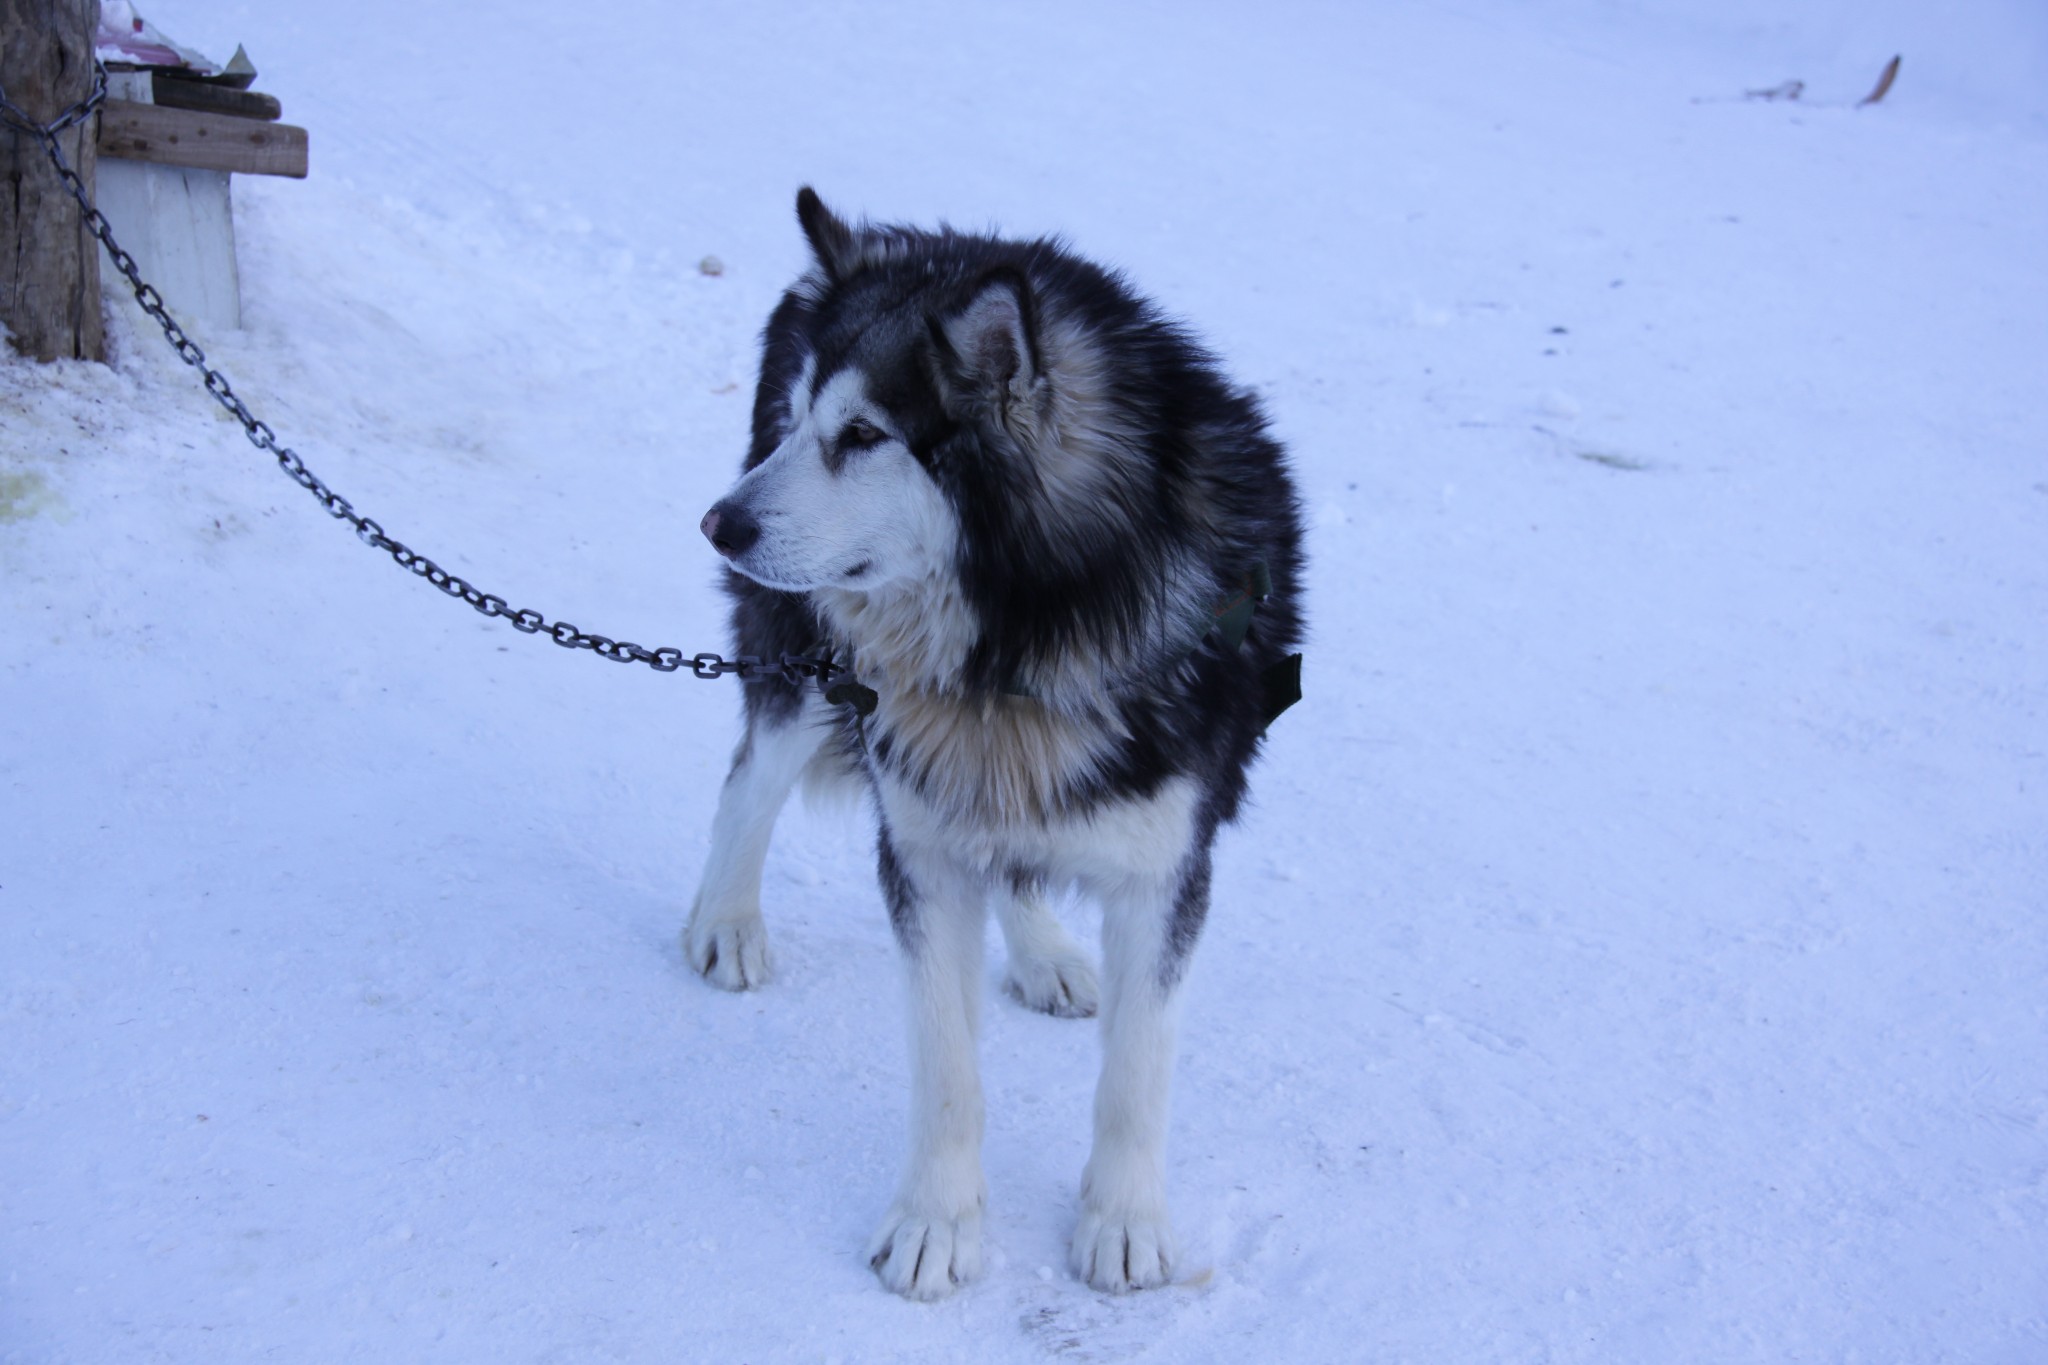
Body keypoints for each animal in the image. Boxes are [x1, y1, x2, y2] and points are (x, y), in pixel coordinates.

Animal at [684, 187, 1294, 1301]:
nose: (716, 523)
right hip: (809, 659)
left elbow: (1136, 1072)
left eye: (863, 435)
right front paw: (937, 1223)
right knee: (750, 777)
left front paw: (1124, 1221)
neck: (1021, 634)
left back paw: (1043, 950)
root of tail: (905, 231)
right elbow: (947, 1070)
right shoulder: (921, 847)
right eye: (800, 420)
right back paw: (728, 919)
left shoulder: (1166, 868)